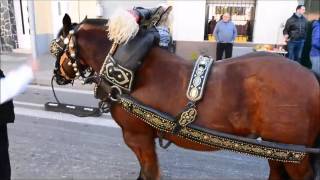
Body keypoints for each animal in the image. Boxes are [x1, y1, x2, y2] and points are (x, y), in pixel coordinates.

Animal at [55, 14, 320, 179]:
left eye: (57, 46)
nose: (57, 75)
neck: (131, 65)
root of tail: (311, 76)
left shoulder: (138, 137)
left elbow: (149, 173)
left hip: (294, 153)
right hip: (277, 149)